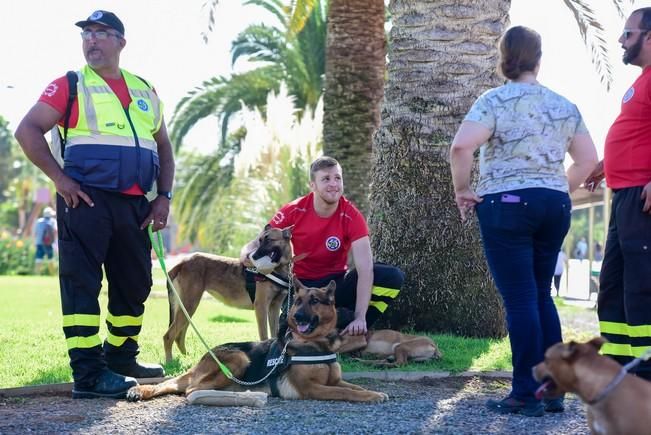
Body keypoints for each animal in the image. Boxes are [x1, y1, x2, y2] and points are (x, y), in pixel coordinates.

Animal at [163, 225, 298, 364]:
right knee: (168, 336)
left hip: (187, 309)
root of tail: (182, 262)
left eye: (269, 240)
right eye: (260, 240)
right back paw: (170, 362)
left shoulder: (274, 308)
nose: (253, 256)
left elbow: (274, 333)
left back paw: (187, 358)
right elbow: (264, 335)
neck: (279, 269)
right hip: (189, 305)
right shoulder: (261, 307)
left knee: (179, 336)